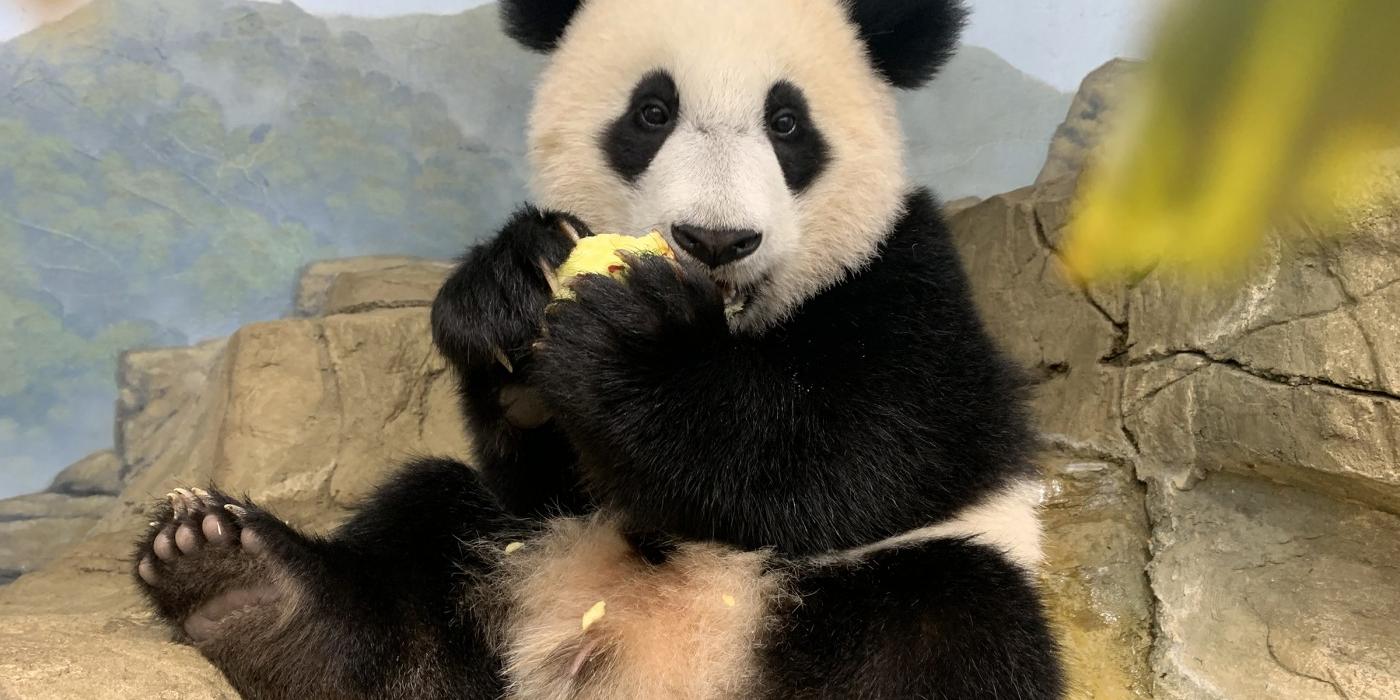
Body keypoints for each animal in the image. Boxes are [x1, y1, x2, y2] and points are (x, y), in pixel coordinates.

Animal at [136, 0, 1064, 697]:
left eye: (787, 123)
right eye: (651, 113)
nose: (715, 240)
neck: (728, 326)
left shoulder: (910, 277)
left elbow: (858, 449)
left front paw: (636, 349)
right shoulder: (547, 489)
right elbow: (544, 471)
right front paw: (507, 290)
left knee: (944, 626)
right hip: (518, 555)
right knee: (424, 530)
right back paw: (245, 588)